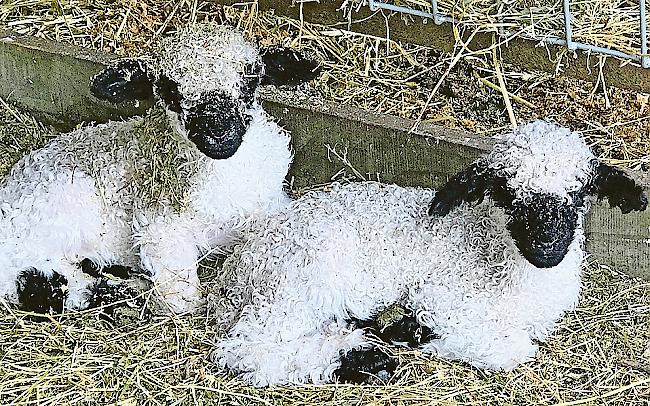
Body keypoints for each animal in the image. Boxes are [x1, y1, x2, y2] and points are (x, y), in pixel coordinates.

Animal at [0, 24, 318, 314]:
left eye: (251, 80)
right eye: (169, 90)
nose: (218, 130)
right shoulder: (158, 226)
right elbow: (180, 299)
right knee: (46, 287)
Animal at [210, 119, 644, 384]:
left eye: (580, 192)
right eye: (506, 192)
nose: (546, 245)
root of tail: (236, 269)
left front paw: (405, 330)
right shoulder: (441, 295)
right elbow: (512, 349)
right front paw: (423, 335)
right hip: (299, 283)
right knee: (244, 349)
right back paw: (362, 360)